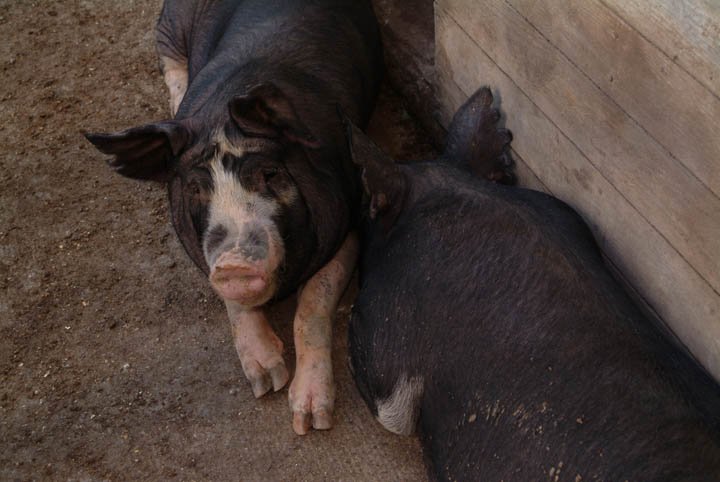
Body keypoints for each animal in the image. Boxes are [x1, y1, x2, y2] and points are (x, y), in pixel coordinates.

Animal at [84, 0, 382, 434]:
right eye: (195, 188)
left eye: (270, 174)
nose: (234, 264)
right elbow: (234, 303)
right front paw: (266, 381)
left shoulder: (350, 218)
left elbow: (312, 306)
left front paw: (309, 420)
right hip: (170, 27)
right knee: (172, 68)